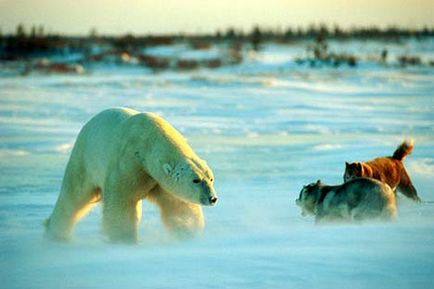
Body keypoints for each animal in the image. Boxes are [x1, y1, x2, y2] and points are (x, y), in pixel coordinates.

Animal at [45, 107, 219, 242]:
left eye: (211, 178)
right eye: (196, 180)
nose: (212, 198)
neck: (149, 141)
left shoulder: (159, 180)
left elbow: (179, 206)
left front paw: (190, 235)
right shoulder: (130, 163)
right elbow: (122, 203)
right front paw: (124, 240)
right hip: (85, 159)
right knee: (74, 196)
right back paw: (55, 233)